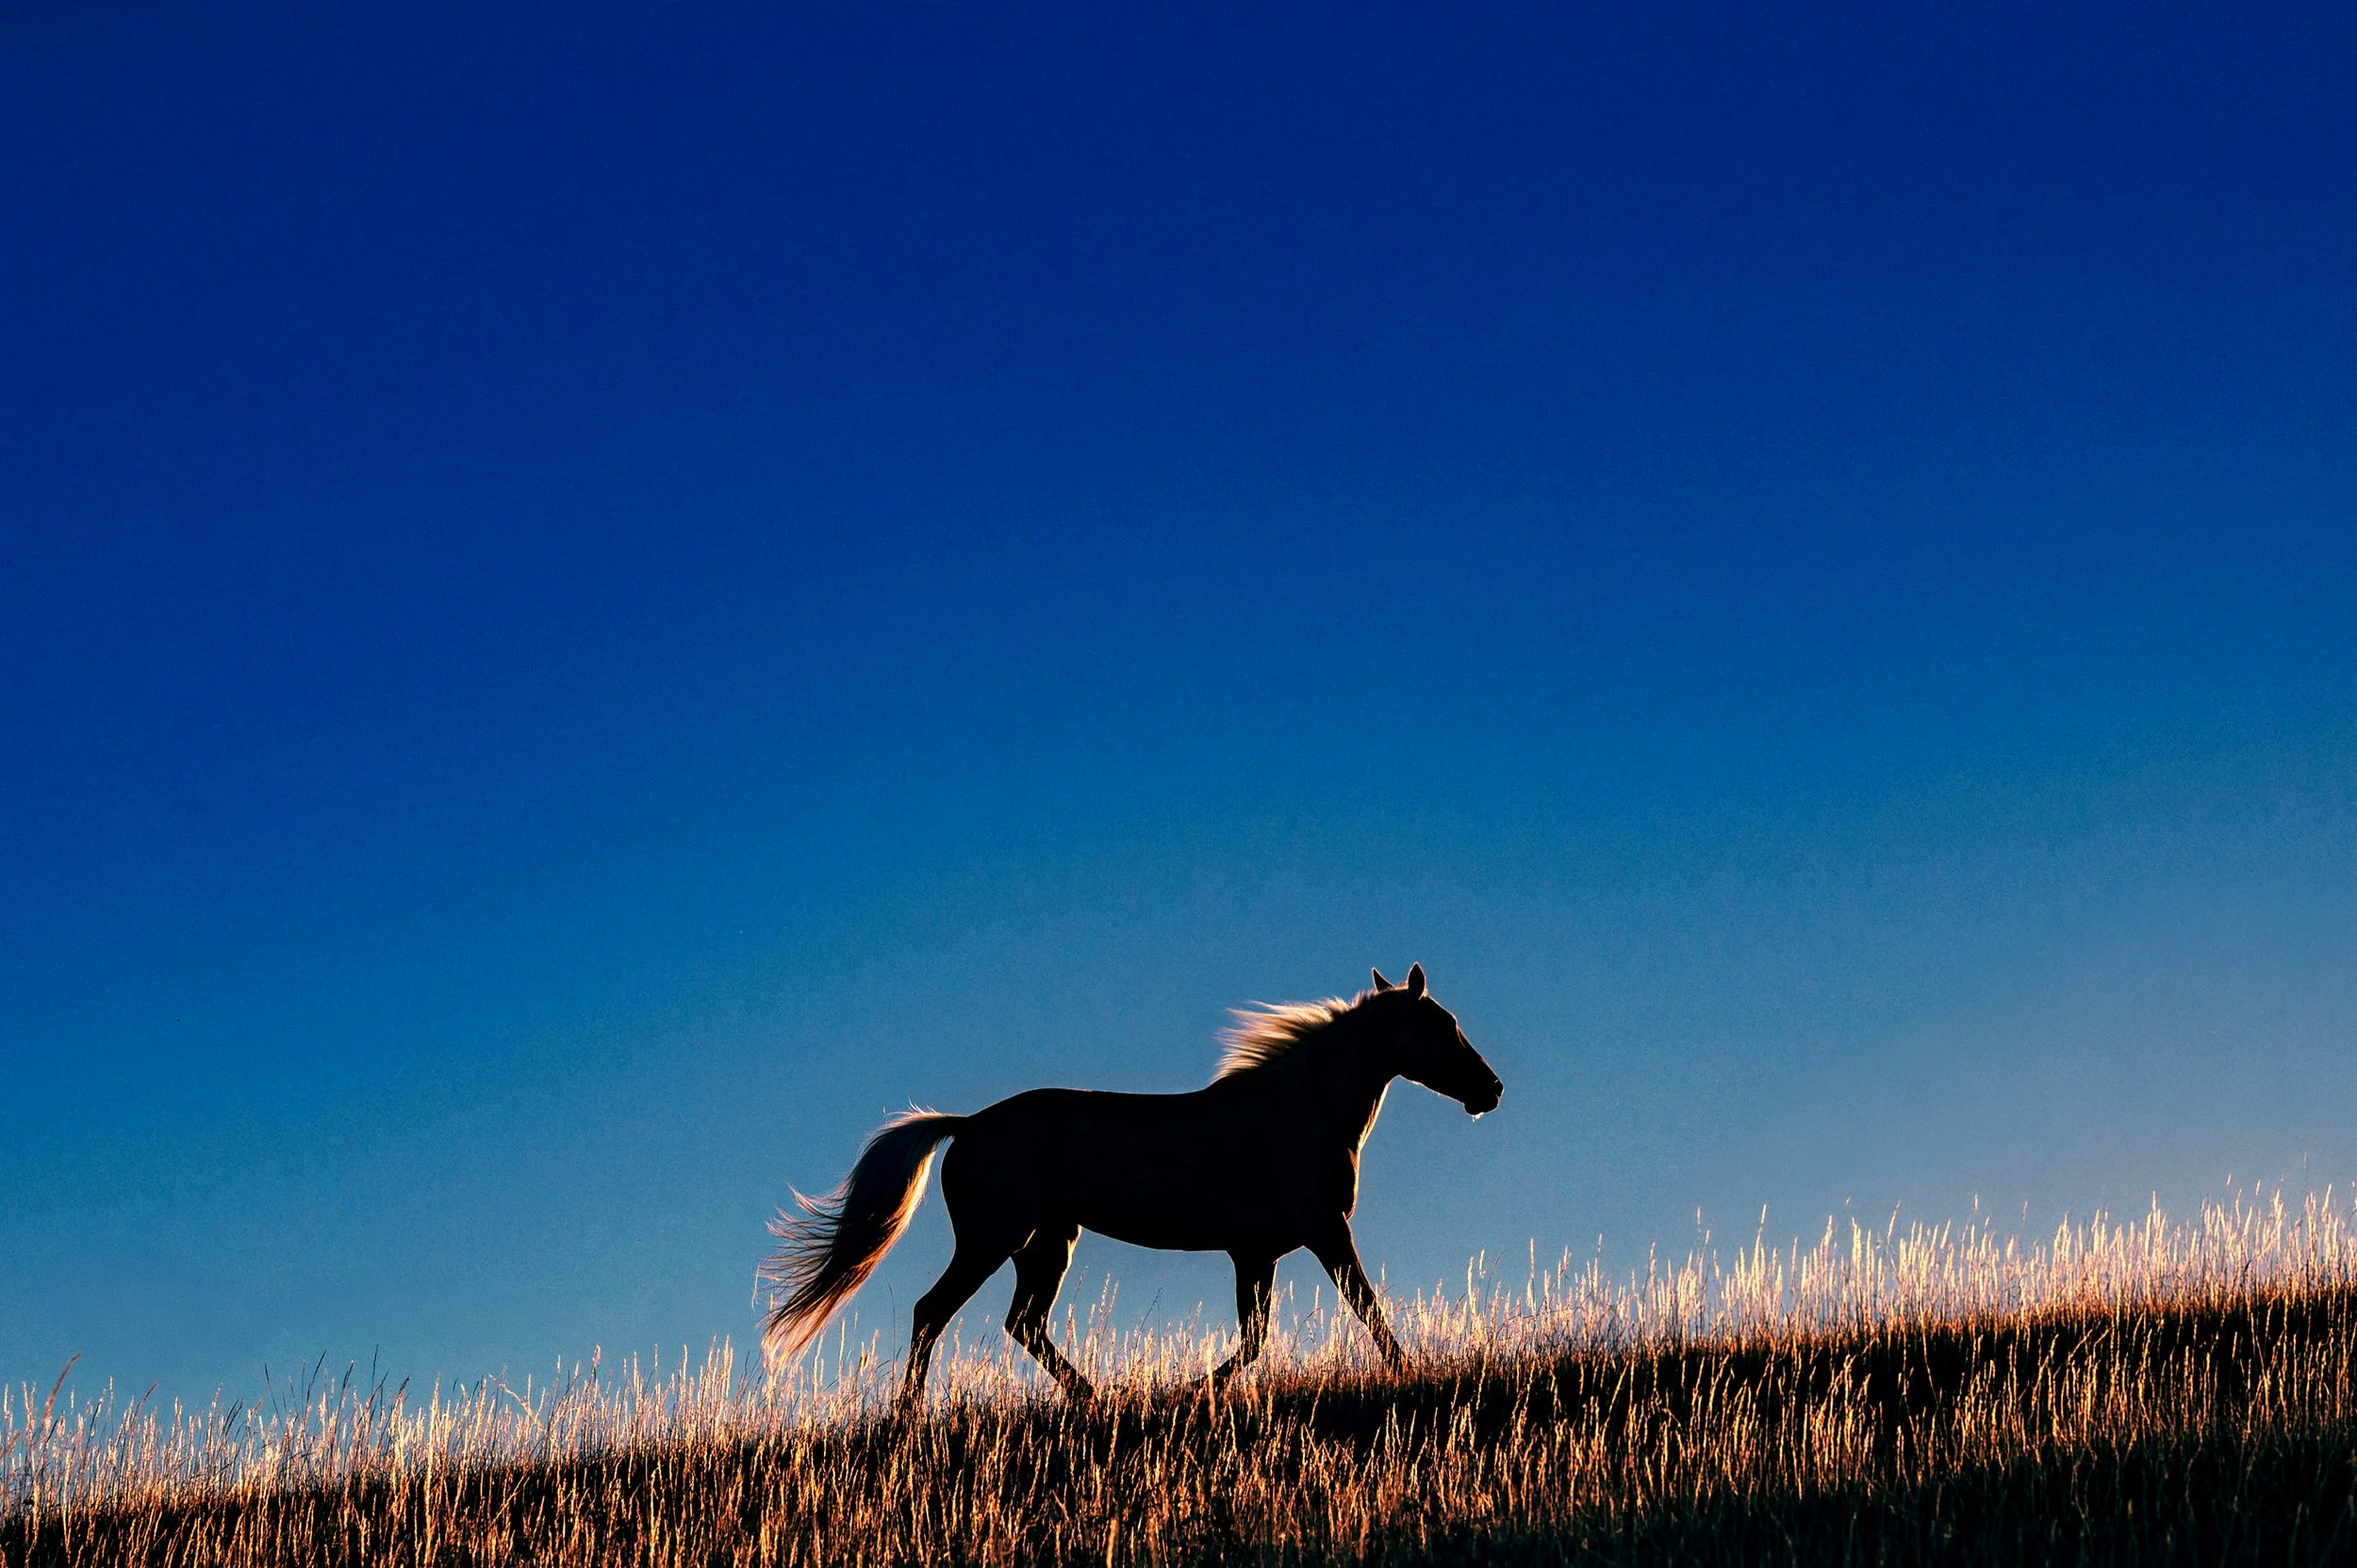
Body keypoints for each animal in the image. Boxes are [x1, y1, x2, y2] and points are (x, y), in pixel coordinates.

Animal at [759, 963, 1503, 1404]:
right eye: (1442, 1025)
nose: (1490, 1090)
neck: (1301, 1110)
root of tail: (967, 1125)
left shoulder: (1255, 1253)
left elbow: (1257, 1339)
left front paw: (1189, 1389)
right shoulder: (1322, 1232)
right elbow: (1364, 1308)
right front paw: (1409, 1373)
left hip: (1047, 1244)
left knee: (1023, 1323)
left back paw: (1096, 1400)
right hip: (993, 1240)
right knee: (932, 1312)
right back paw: (907, 1418)